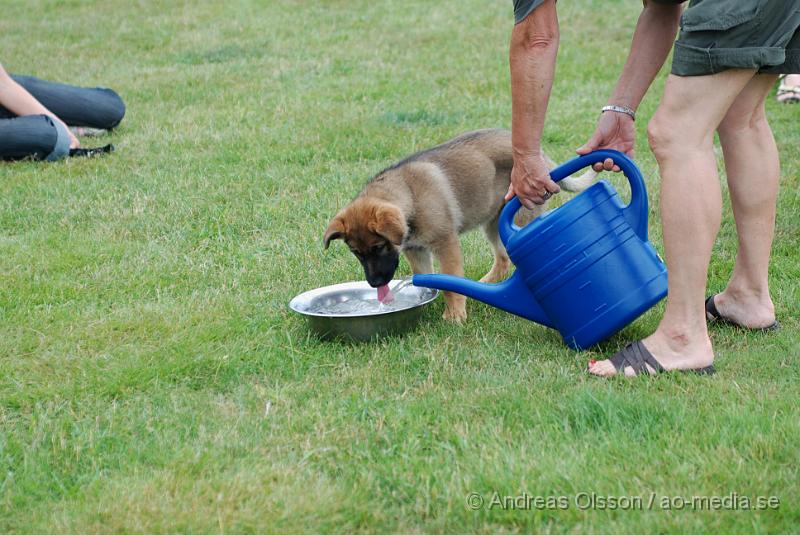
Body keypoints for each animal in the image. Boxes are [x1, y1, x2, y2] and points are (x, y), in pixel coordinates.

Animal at [324, 130, 592, 322]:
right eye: (356, 253)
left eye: (379, 247)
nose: (376, 284)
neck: (410, 196)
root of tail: (544, 159)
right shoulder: (416, 250)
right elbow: (428, 277)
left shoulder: (445, 243)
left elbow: (451, 281)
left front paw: (454, 315)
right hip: (492, 222)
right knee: (503, 258)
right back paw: (485, 283)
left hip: (519, 217)